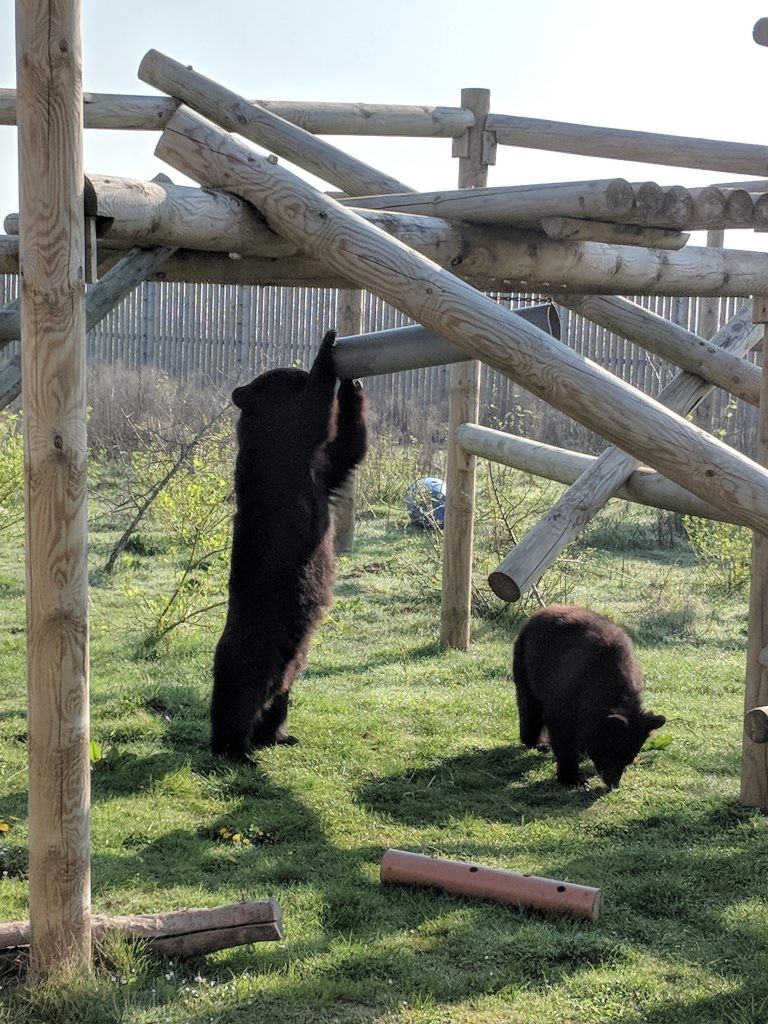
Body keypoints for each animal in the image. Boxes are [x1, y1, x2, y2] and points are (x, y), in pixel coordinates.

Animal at [208, 329, 368, 761]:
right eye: (282, 375)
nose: (297, 368)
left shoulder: (320, 475)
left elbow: (347, 451)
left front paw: (354, 385)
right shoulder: (281, 459)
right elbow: (313, 418)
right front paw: (327, 353)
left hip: (294, 665)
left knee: (276, 703)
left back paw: (277, 735)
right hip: (251, 651)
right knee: (236, 697)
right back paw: (232, 749)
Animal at [512, 602, 667, 786]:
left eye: (630, 757)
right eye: (612, 752)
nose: (614, 784)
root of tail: (538, 613)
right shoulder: (566, 691)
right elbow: (562, 733)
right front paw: (571, 777)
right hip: (525, 663)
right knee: (529, 704)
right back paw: (536, 742)